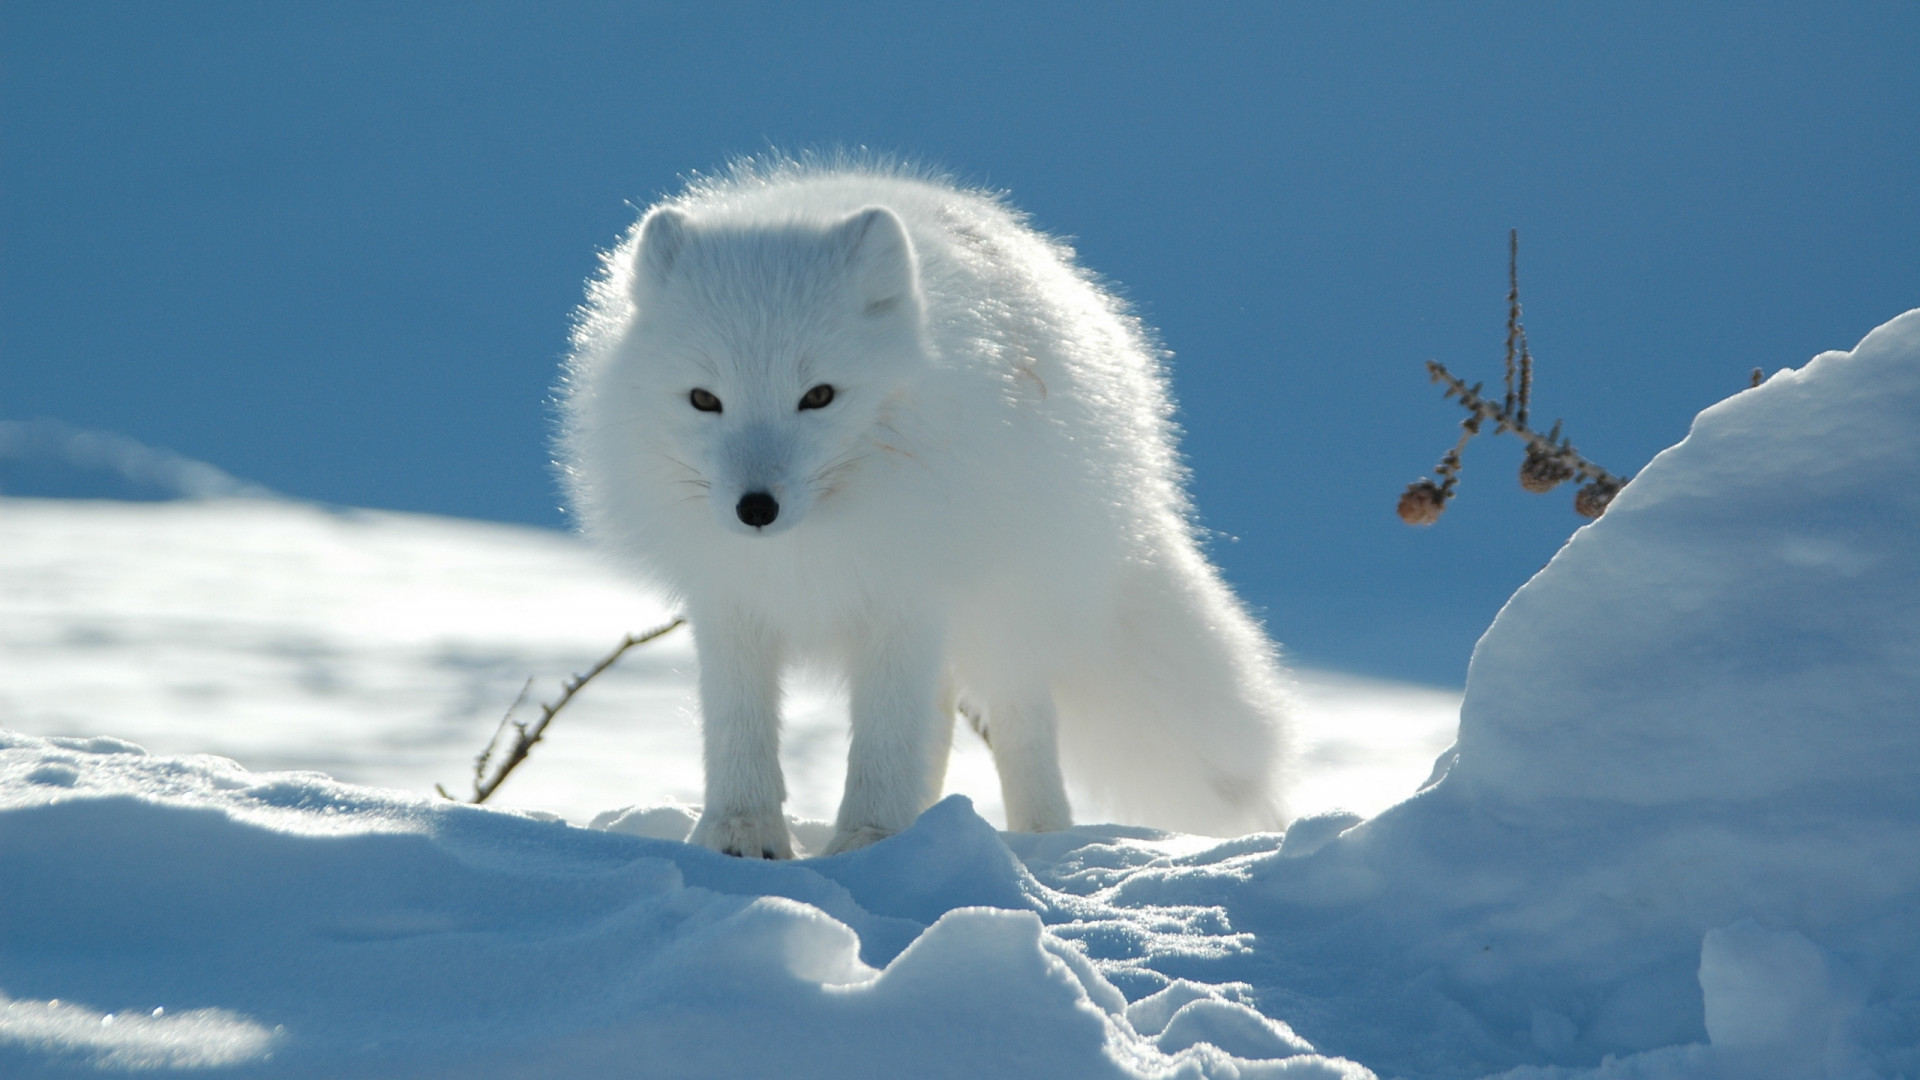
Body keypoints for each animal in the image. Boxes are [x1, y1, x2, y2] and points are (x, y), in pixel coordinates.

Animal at [560, 159, 1297, 853]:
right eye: (703, 400)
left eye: (819, 396)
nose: (756, 509)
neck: (809, 548)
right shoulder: (730, 601)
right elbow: (739, 728)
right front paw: (741, 835)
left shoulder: (906, 595)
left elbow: (886, 739)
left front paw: (869, 841)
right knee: (939, 721)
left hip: (1008, 612)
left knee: (1020, 724)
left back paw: (1039, 840)